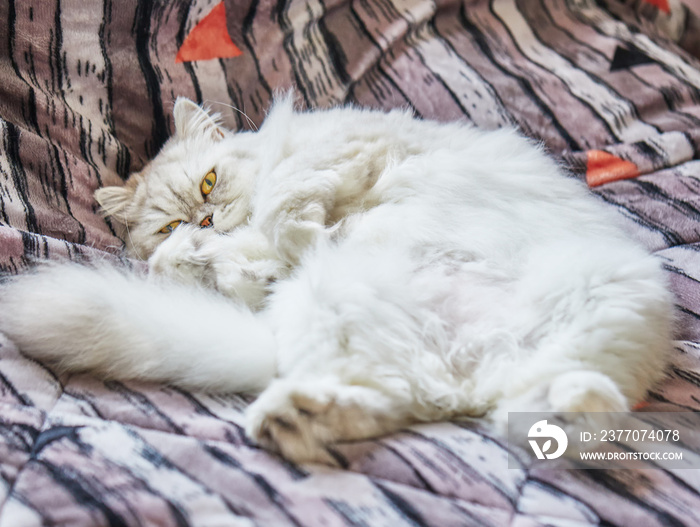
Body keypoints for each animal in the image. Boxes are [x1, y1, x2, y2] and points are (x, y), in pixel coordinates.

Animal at [0, 97, 676, 464]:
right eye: (168, 221)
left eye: (209, 183)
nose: (203, 220)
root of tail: (466, 374)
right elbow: (221, 263)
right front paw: (203, 255)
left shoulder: (335, 153)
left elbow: (286, 201)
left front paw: (294, 233)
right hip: (336, 317)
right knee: (416, 402)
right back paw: (293, 418)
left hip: (604, 299)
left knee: (550, 404)